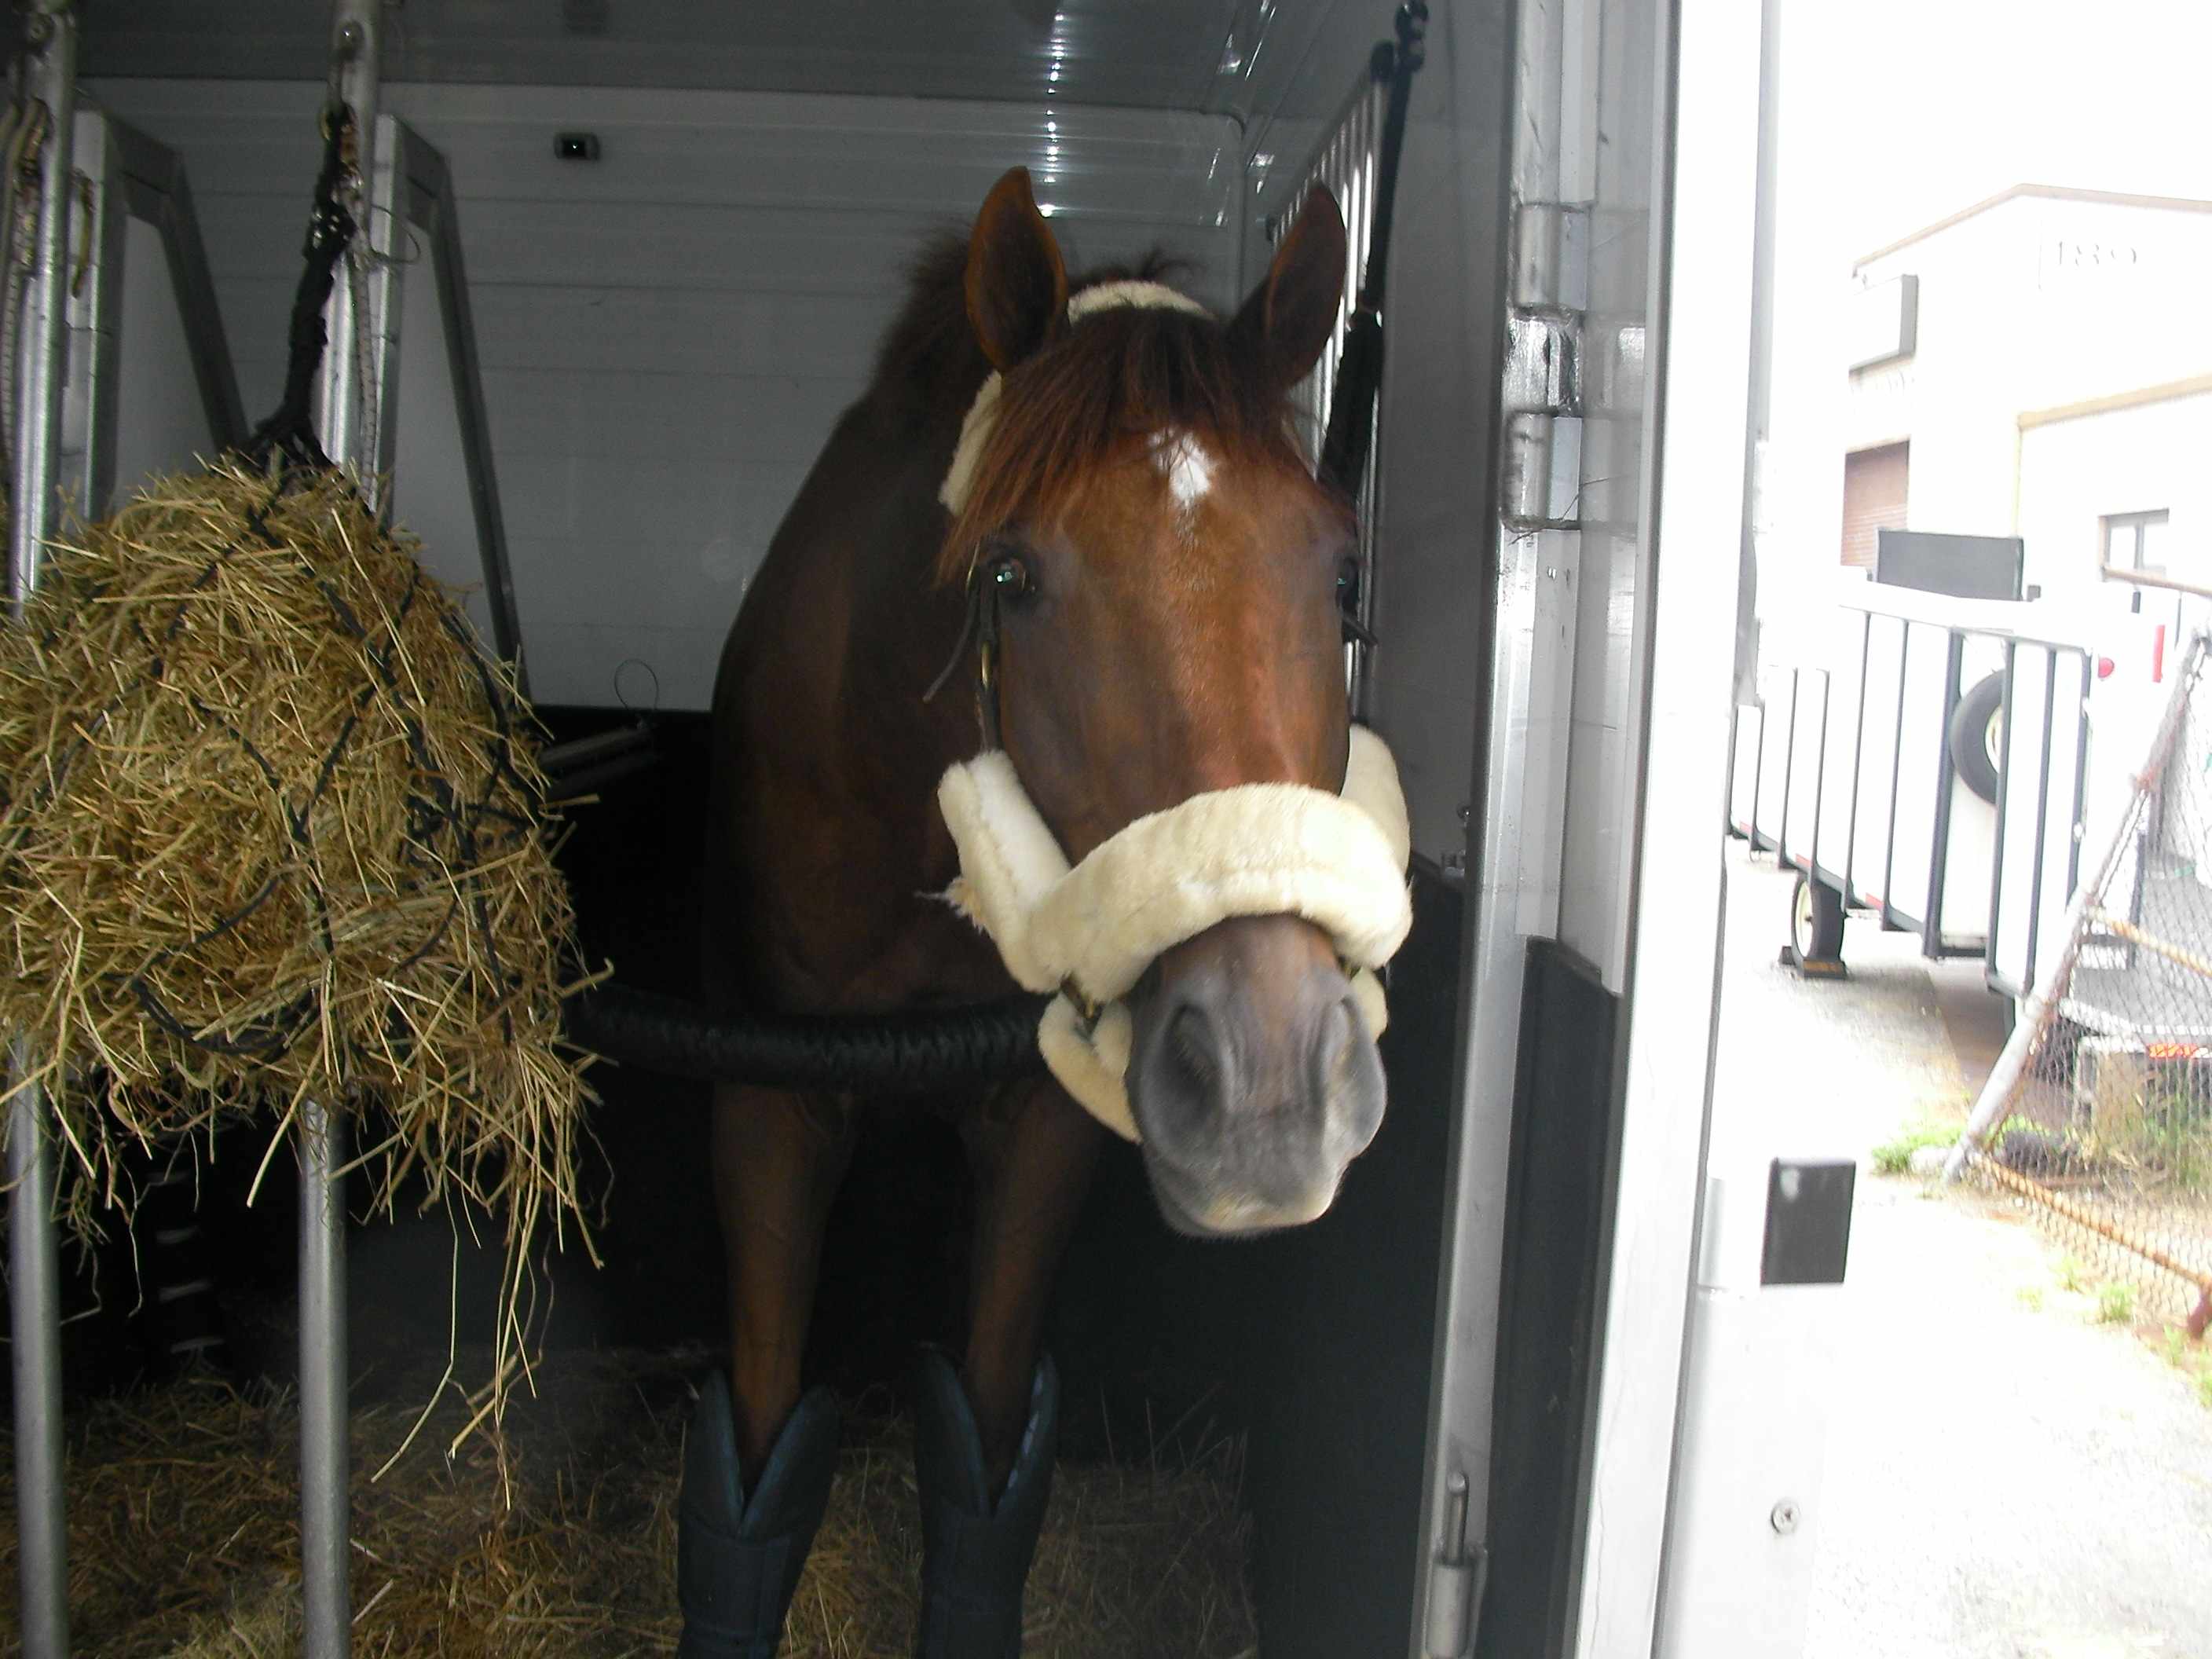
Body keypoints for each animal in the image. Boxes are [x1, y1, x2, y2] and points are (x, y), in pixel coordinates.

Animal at [681, 172, 1380, 1659]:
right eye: (1009, 575)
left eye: (1342, 576)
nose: (1270, 1085)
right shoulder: (766, 1109)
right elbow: (756, 1456)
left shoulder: (1042, 1124)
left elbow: (986, 1459)